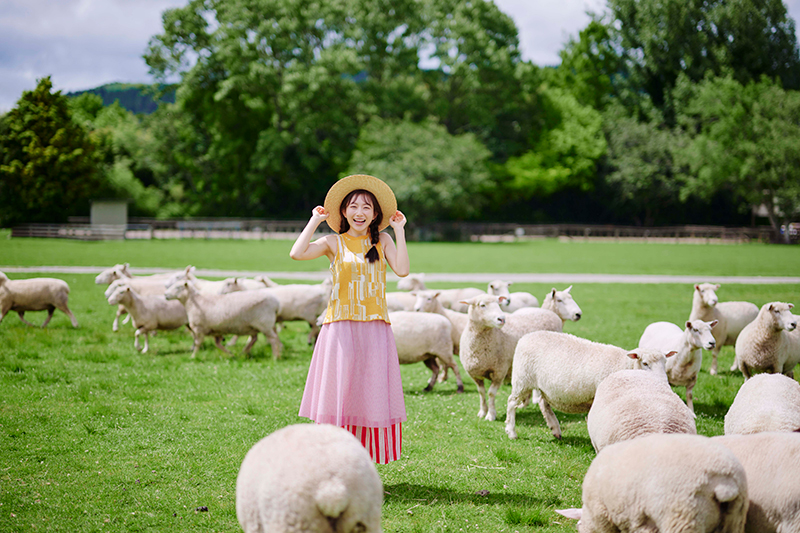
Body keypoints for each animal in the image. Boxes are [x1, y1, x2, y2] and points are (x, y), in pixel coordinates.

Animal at [456, 294, 564, 422]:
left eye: (498, 303)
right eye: (482, 305)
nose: (502, 319)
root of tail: (549, 312)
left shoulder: (499, 371)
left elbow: (491, 393)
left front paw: (491, 415)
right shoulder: (475, 374)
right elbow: (481, 393)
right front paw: (482, 412)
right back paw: (523, 404)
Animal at [506, 330, 676, 438]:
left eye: (665, 362)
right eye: (645, 363)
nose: (662, 383)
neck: (625, 364)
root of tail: (527, 336)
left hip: (543, 386)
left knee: (543, 402)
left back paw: (555, 429)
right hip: (522, 379)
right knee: (511, 402)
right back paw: (511, 432)